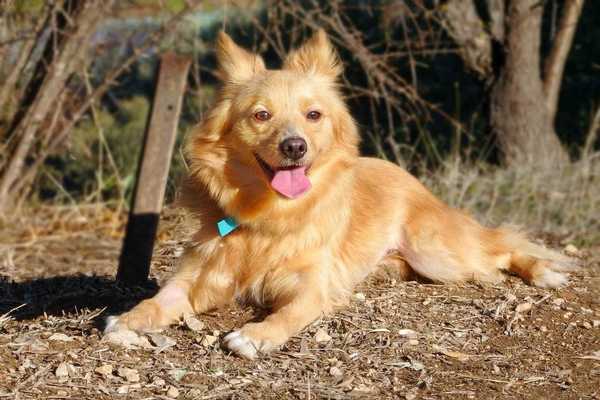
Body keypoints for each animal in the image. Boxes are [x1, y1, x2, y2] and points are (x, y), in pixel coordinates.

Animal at [104, 29, 576, 358]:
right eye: (261, 116)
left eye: (313, 115)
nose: (295, 146)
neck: (267, 215)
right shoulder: (197, 277)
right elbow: (159, 299)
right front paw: (128, 319)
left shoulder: (312, 287)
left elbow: (288, 312)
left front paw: (256, 335)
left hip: (438, 254)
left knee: (500, 250)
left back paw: (543, 271)